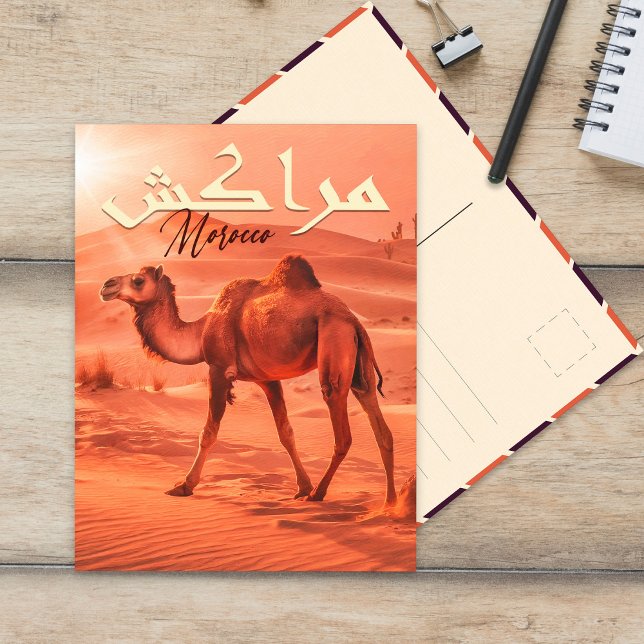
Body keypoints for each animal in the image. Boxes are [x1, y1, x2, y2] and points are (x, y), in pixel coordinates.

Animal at [99, 254, 396, 506]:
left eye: (139, 280)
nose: (106, 285)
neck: (201, 330)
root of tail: (353, 321)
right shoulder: (267, 379)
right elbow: (286, 433)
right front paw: (302, 486)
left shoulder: (218, 369)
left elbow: (208, 432)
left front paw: (184, 485)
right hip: (359, 368)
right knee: (381, 428)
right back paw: (390, 502)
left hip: (334, 343)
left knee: (342, 431)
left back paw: (319, 494)